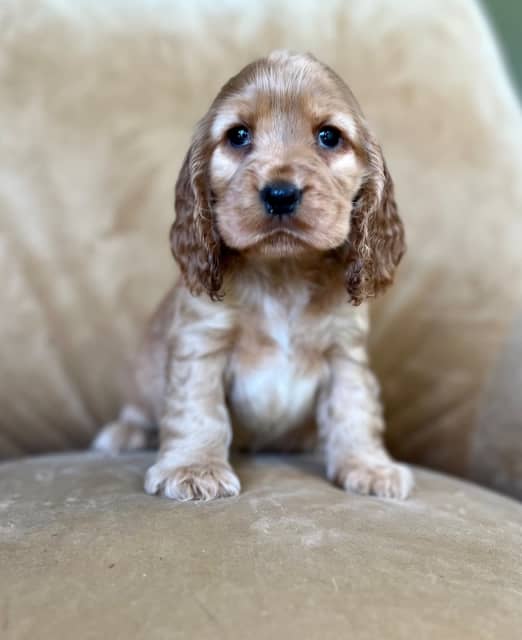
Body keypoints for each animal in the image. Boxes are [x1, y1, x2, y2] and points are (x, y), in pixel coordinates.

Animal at [91, 51, 412, 500]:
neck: (283, 273)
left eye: (329, 137)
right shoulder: (201, 343)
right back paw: (124, 434)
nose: (280, 194)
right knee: (138, 411)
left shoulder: (345, 353)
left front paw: (369, 466)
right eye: (238, 135)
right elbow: (198, 410)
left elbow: (355, 409)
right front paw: (194, 468)